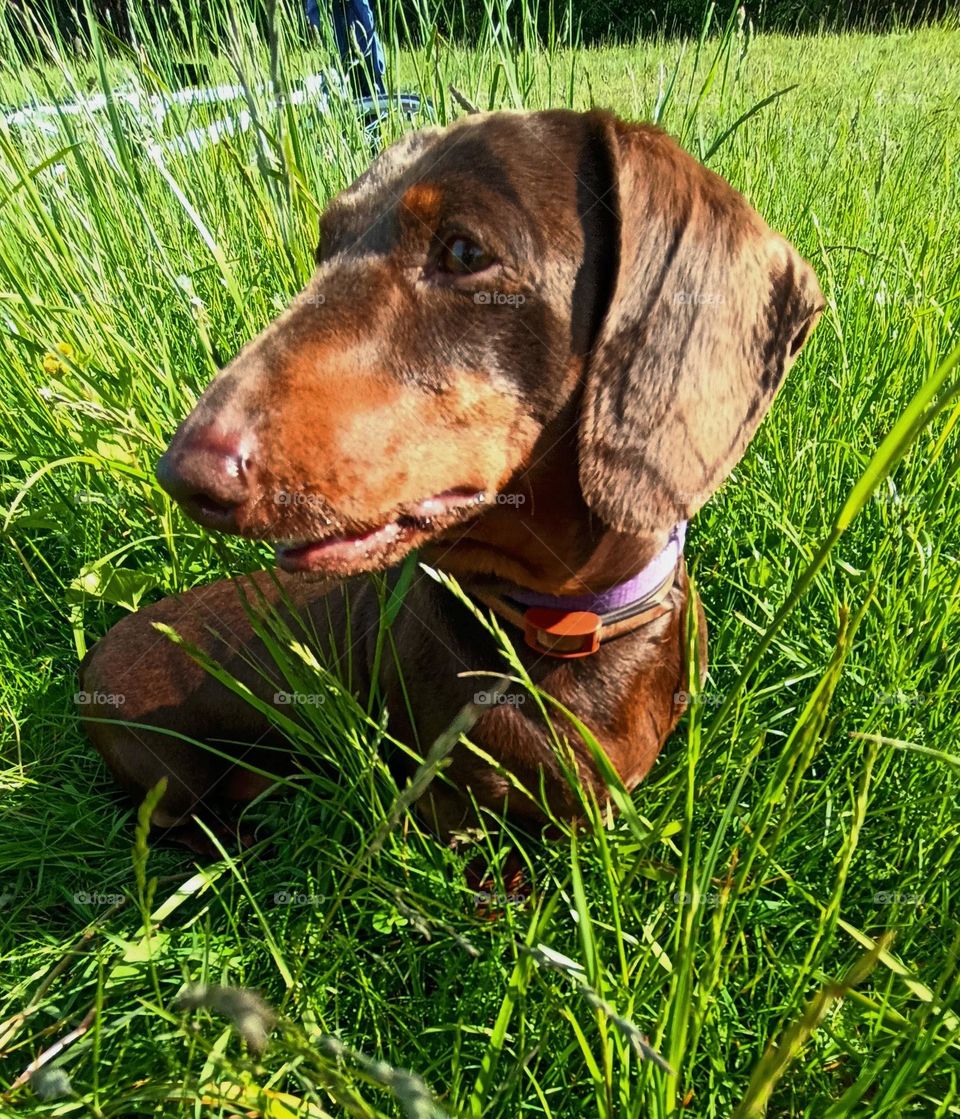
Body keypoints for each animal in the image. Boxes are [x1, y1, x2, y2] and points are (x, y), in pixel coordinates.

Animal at [78, 111, 819, 845]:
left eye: (464, 253)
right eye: (325, 245)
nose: (182, 474)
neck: (564, 627)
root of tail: (87, 665)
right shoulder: (452, 817)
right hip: (170, 776)